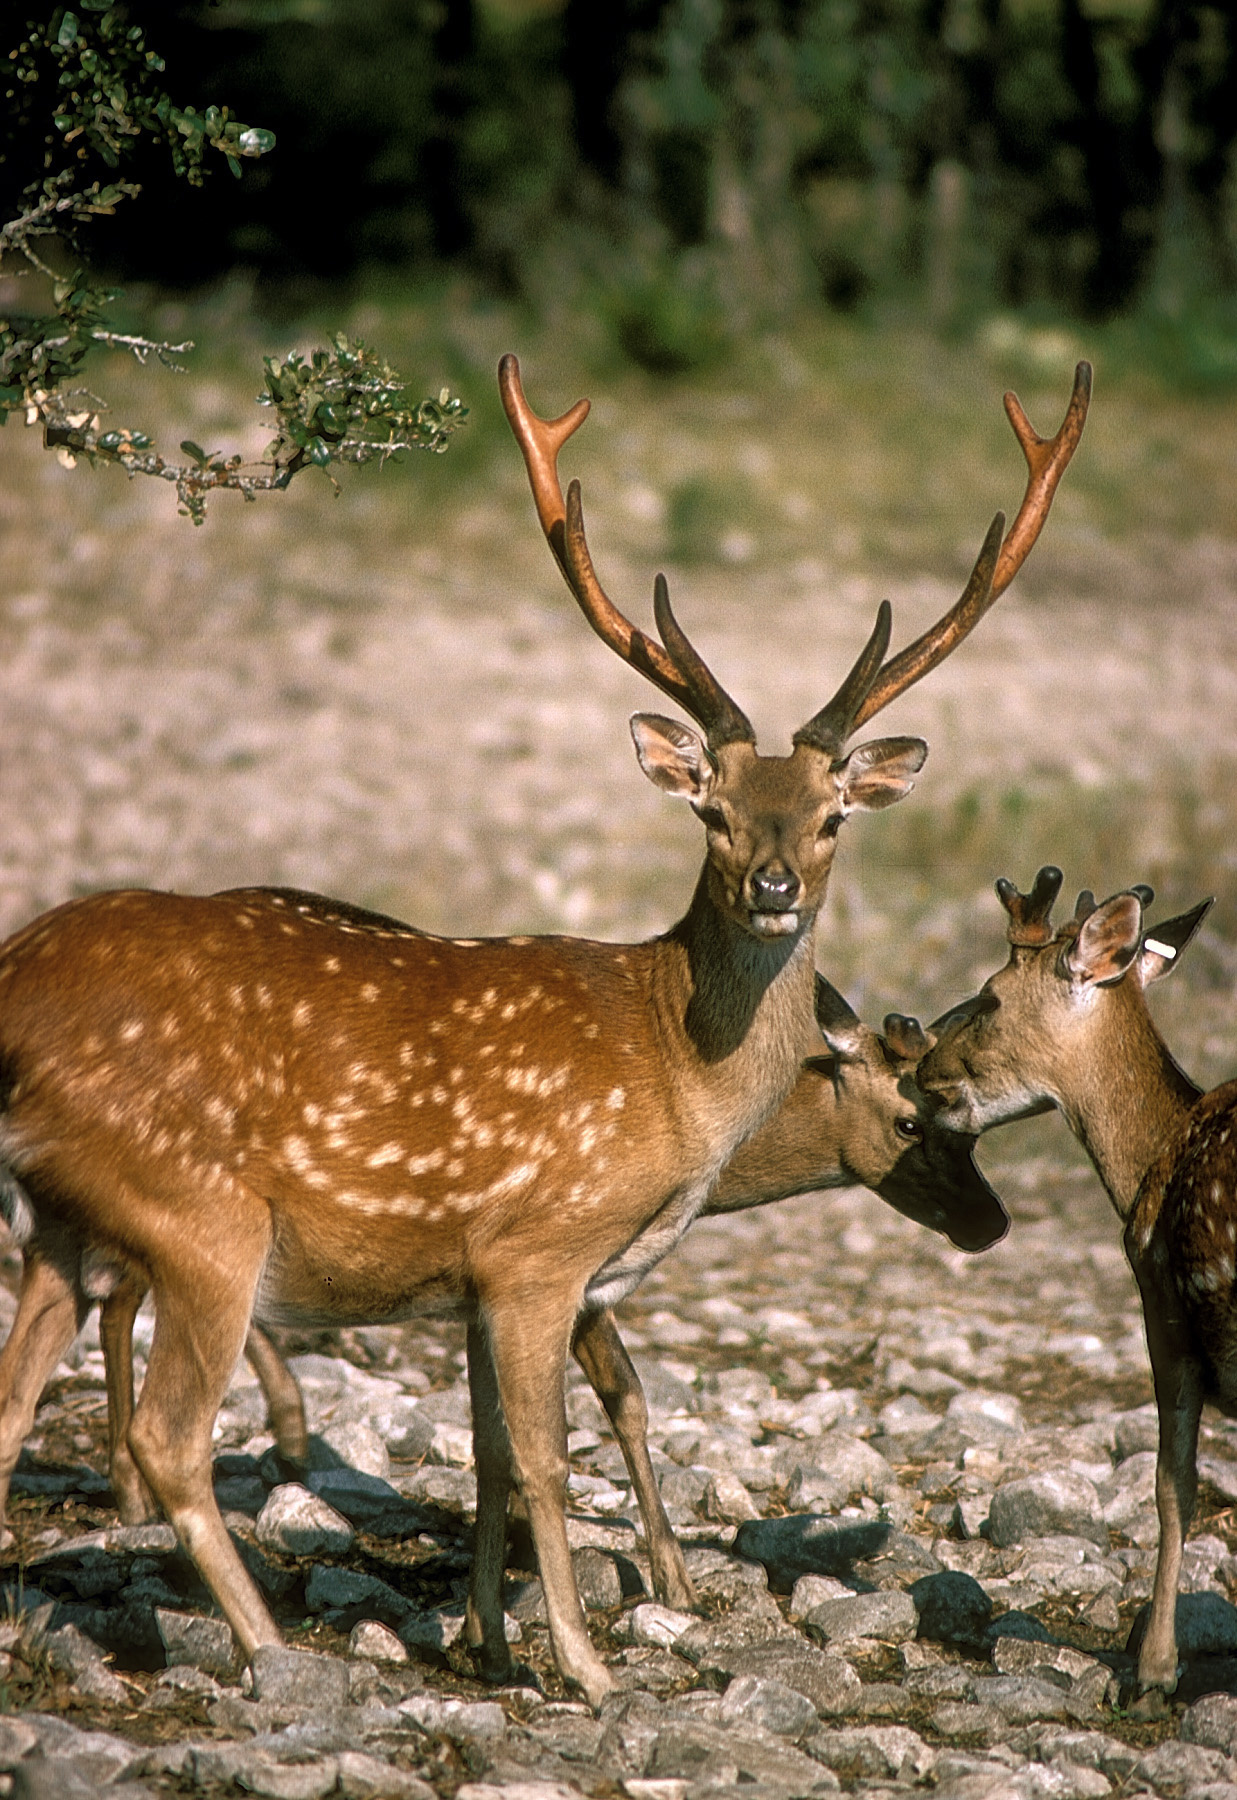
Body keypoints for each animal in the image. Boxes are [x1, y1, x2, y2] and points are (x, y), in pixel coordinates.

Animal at [0, 351, 1080, 1699]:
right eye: (714, 810)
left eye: (833, 813)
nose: (775, 886)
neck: (672, 1069)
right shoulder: (535, 1251)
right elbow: (547, 1459)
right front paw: (587, 1663)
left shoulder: (471, 1279)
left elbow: (492, 1458)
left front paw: (491, 1641)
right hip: (198, 1214)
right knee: (168, 1435)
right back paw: (271, 1650)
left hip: (65, 1221)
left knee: (10, 1406)